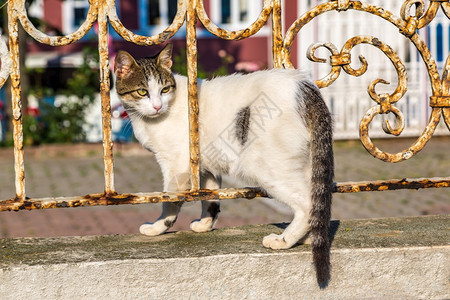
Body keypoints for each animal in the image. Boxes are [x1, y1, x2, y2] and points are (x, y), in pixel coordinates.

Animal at [114, 43, 334, 284]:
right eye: (142, 91)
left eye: (164, 90)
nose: (157, 106)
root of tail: (304, 86)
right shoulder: (204, 165)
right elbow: (210, 196)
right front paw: (205, 224)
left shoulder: (176, 164)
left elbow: (170, 200)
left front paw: (158, 227)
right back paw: (306, 237)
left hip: (267, 167)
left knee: (306, 203)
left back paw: (283, 240)